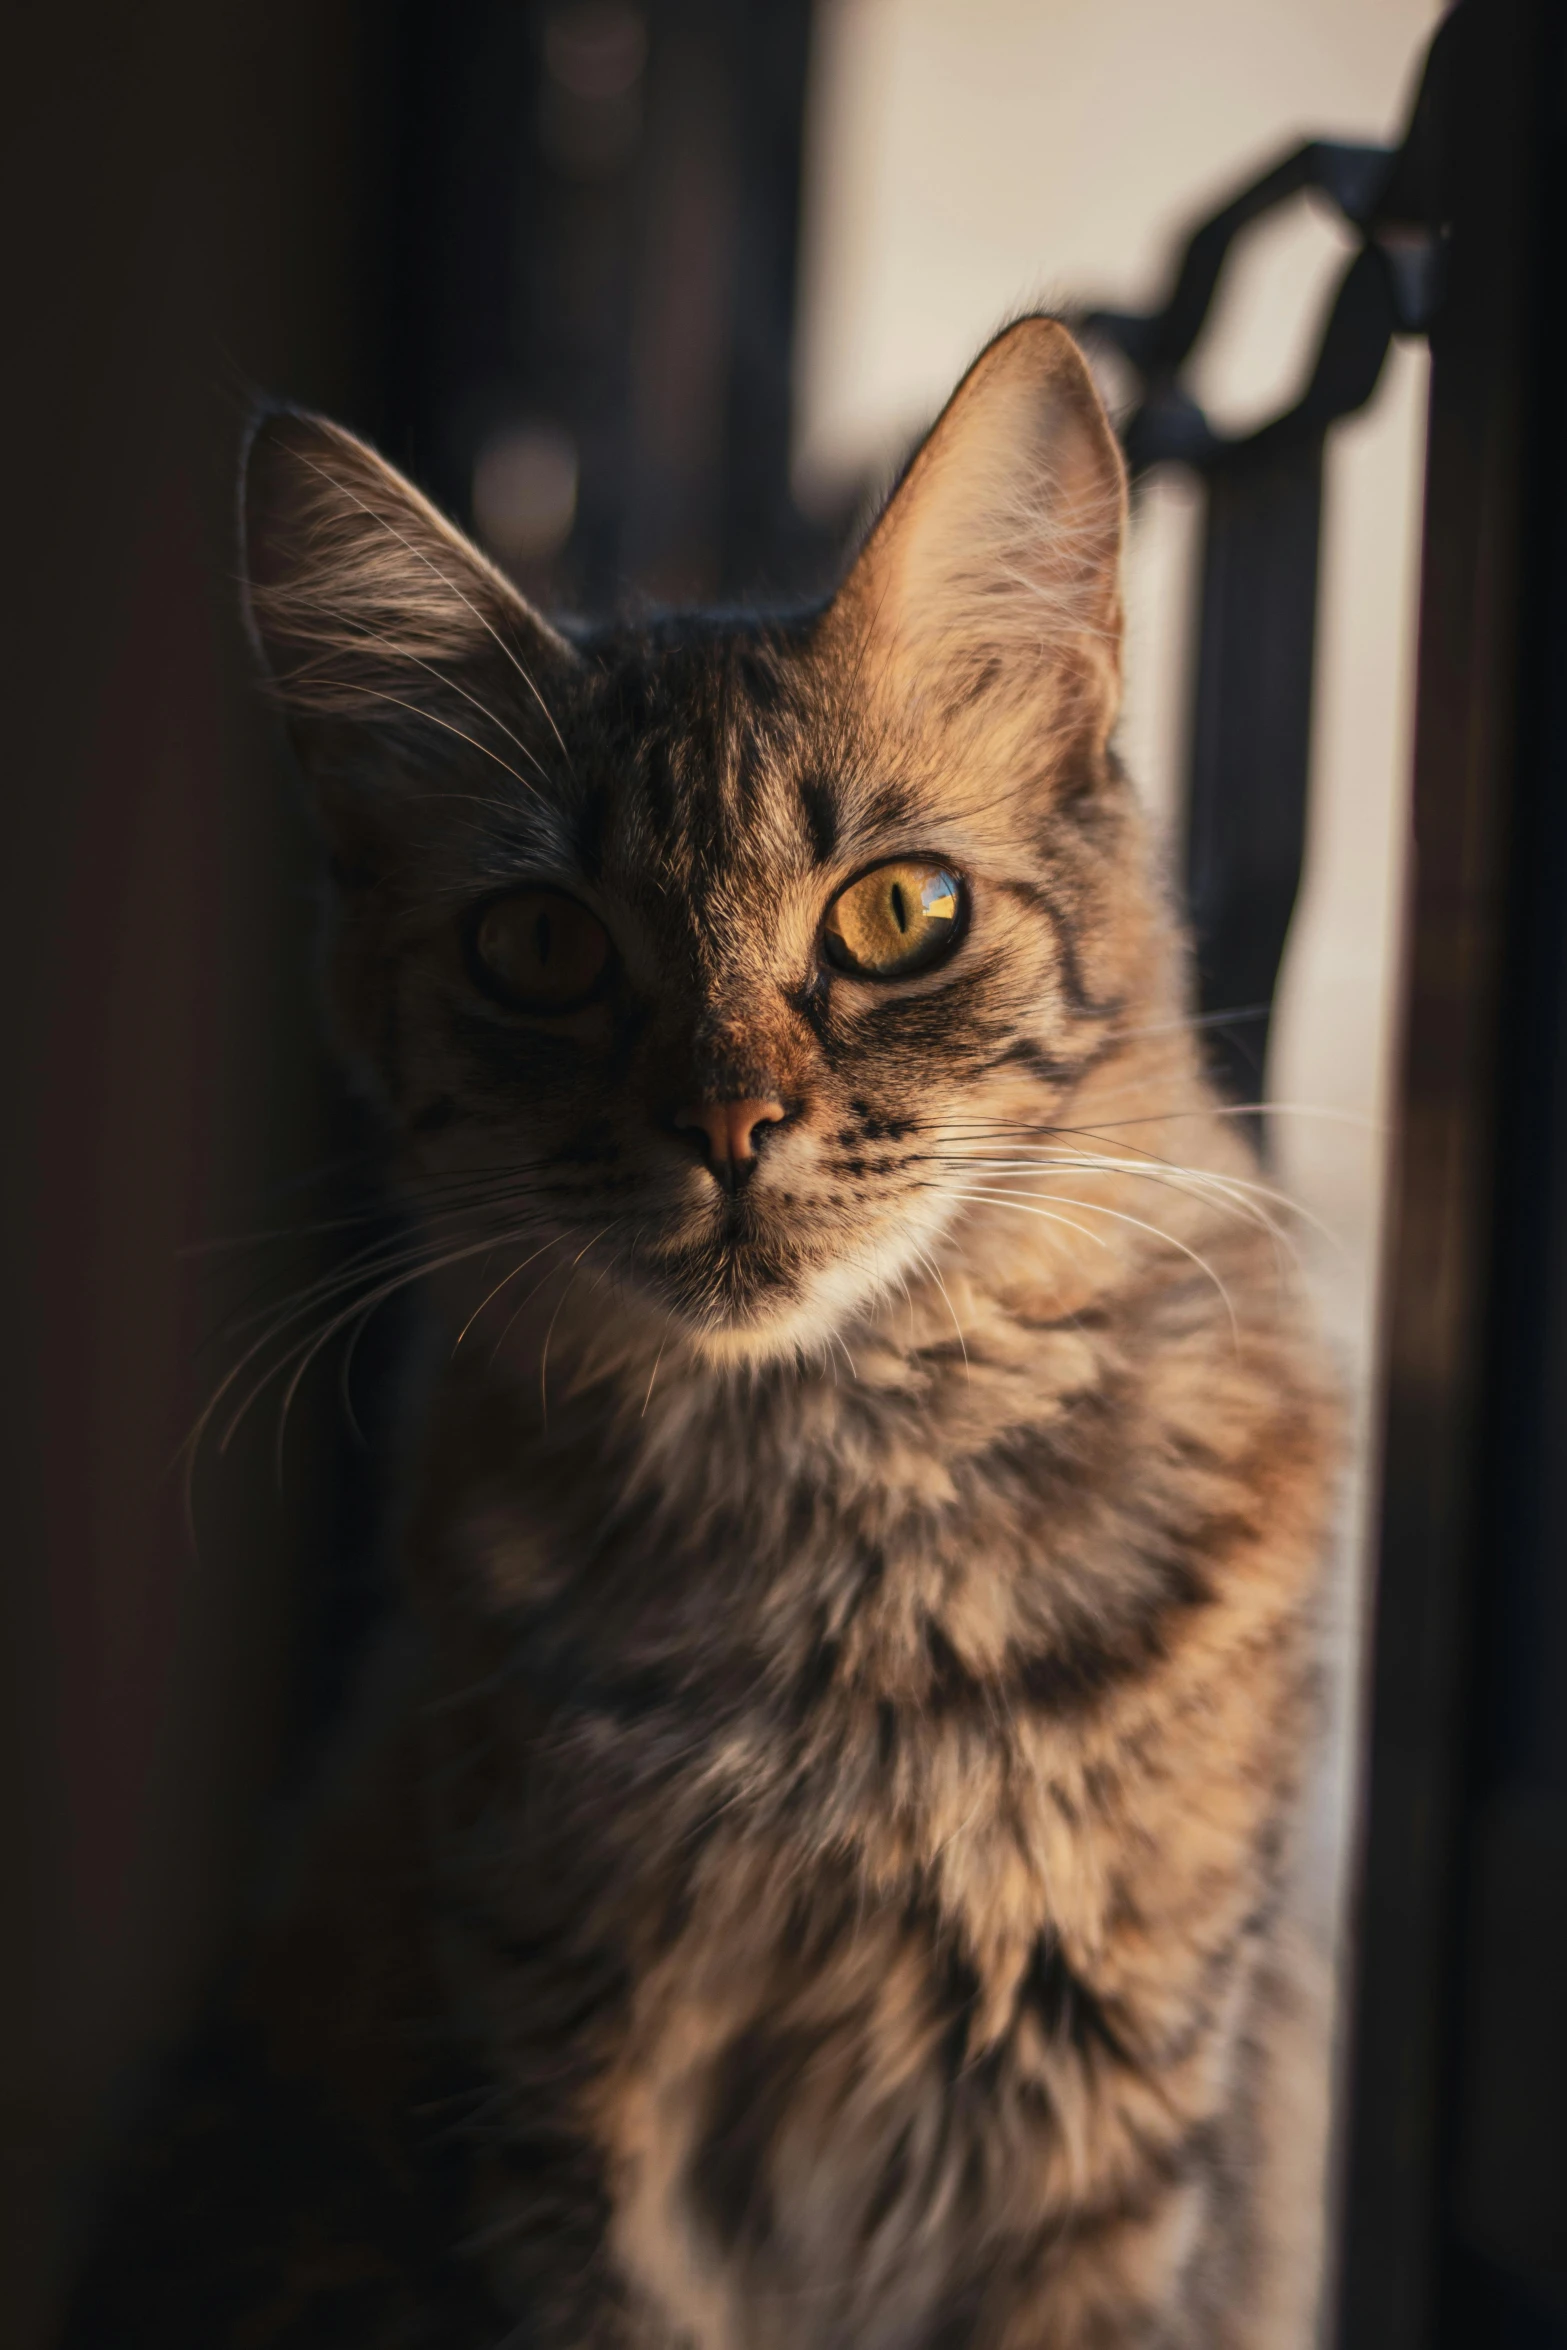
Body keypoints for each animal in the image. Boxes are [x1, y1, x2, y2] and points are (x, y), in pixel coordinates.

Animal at [61, 317, 1334, 2350]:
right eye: (540, 949)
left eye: (900, 912)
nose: (728, 1126)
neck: (842, 1568)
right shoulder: (563, 2104)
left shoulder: (1108, 2134)